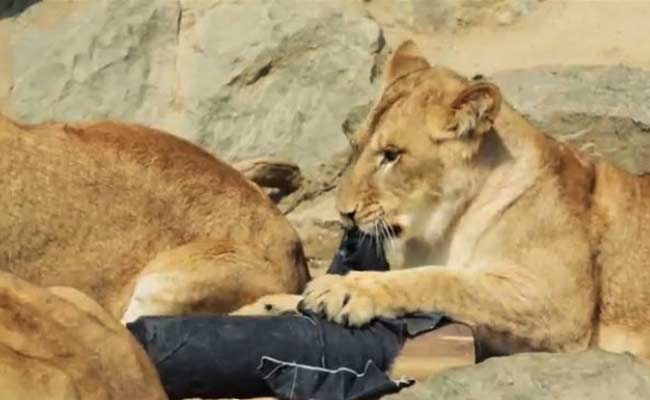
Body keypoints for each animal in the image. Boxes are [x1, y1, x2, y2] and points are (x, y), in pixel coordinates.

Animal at [297, 40, 650, 363]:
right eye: (356, 146)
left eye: (392, 155)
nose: (344, 213)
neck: (442, 230)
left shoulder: (562, 306)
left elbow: (443, 280)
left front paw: (346, 290)